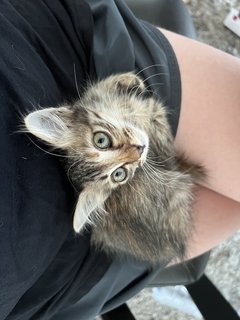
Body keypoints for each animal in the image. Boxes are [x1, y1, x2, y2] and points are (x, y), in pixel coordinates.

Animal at [23, 72, 202, 264]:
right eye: (119, 174)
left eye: (101, 140)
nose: (140, 149)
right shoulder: (163, 148)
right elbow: (158, 117)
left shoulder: (93, 97)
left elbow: (104, 85)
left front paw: (130, 79)